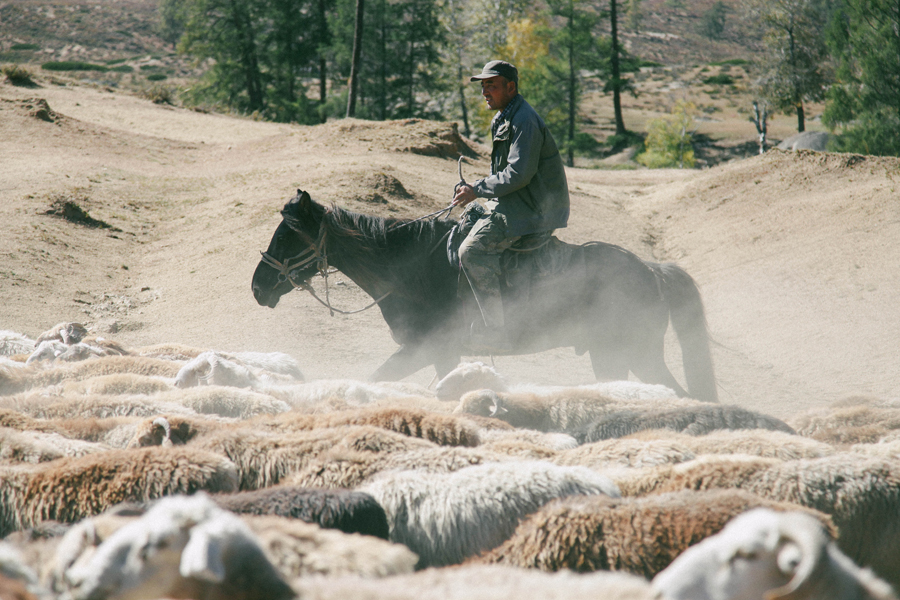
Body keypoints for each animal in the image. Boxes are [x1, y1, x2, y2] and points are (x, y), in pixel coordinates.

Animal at [251, 190, 716, 400]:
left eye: (287, 235)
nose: (257, 286)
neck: (412, 266)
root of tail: (651, 270)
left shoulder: (422, 349)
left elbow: (376, 377)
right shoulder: (444, 355)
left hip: (628, 354)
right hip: (619, 358)